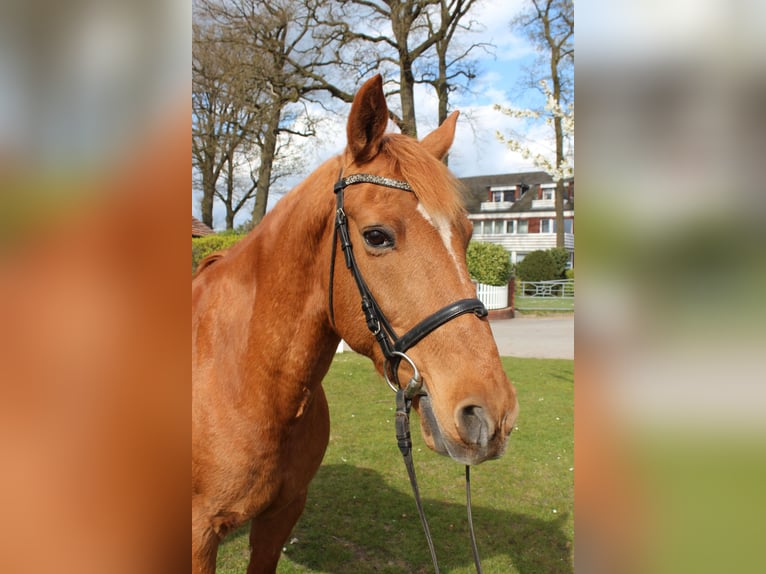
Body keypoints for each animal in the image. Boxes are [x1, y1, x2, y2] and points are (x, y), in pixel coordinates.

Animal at [192, 74, 519, 574]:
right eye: (376, 236)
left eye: (466, 235)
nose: (490, 414)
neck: (242, 380)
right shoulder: (198, 533)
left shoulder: (280, 516)